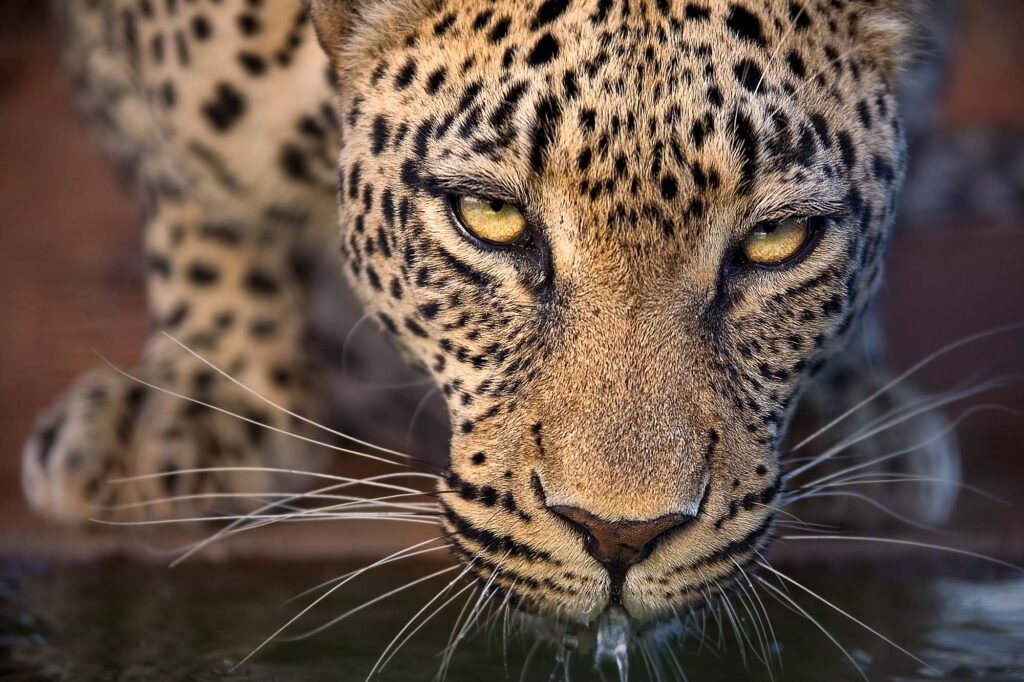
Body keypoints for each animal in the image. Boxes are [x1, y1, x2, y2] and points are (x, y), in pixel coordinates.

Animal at [21, 0, 963, 668]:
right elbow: (206, 177)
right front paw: (202, 403)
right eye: (493, 219)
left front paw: (856, 414)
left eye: (776, 240)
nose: (621, 537)